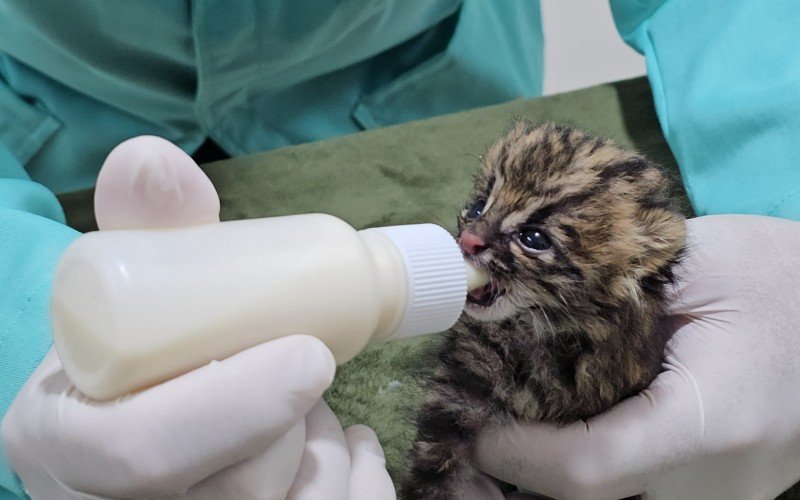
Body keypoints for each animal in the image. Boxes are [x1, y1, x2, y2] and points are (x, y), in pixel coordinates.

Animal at [404, 122, 684, 500]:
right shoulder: (459, 385)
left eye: (533, 239)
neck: (532, 331)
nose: (467, 241)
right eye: (477, 208)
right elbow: (434, 459)